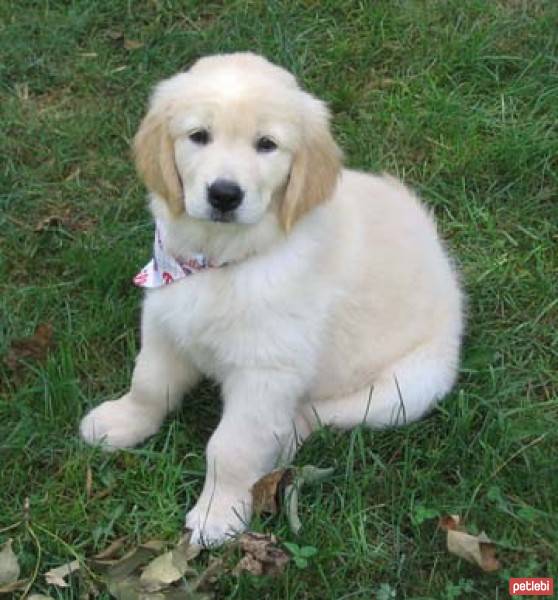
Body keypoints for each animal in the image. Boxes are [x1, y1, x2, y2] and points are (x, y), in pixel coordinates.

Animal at [79, 54, 464, 548]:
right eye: (198, 136)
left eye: (267, 145)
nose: (224, 194)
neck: (223, 259)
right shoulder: (165, 320)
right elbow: (148, 383)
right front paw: (121, 422)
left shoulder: (266, 371)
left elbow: (232, 447)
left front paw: (218, 514)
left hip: (407, 387)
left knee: (314, 416)